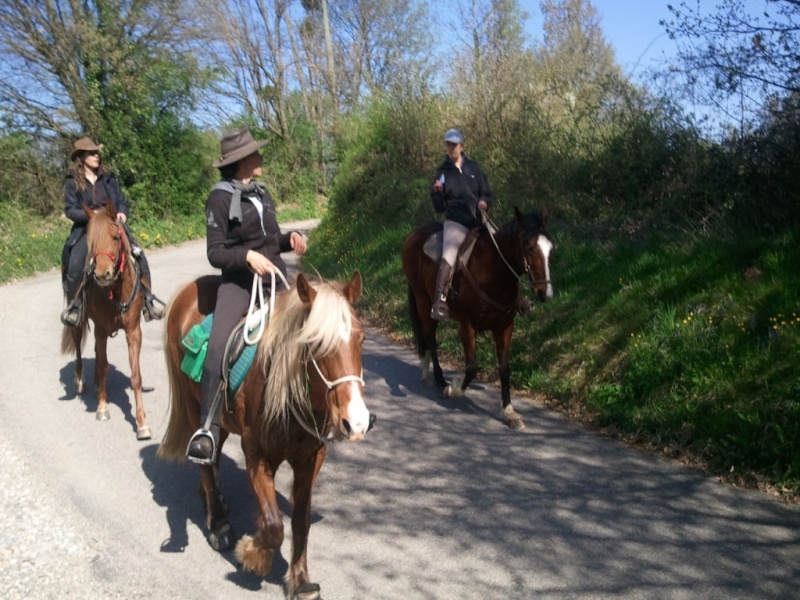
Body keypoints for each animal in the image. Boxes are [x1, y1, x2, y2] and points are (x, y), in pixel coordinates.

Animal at [59, 199, 152, 438]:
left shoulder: (133, 331)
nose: (102, 275)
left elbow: (135, 375)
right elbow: (102, 365)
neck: (115, 290)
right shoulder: (101, 329)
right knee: (80, 350)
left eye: (116, 237)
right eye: (91, 241)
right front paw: (102, 408)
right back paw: (80, 381)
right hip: (79, 320)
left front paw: (142, 423)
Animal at [159, 270, 376, 600]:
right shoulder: (256, 454)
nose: (358, 422)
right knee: (206, 456)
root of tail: (186, 291)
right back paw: (218, 523)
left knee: (215, 452)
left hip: (221, 419)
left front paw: (301, 580)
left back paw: (212, 498)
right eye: (315, 342)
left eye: (360, 337)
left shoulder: (310, 459)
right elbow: (274, 526)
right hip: (196, 405)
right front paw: (254, 553)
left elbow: (300, 521)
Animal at [404, 209, 552, 428]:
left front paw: (508, 411)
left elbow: (504, 369)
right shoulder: (468, 326)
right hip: (424, 302)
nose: (544, 292)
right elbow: (472, 367)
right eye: (529, 247)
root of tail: (413, 236)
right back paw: (437, 378)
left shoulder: (505, 328)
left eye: (550, 248)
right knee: (430, 338)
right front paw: (453, 389)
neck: (493, 272)